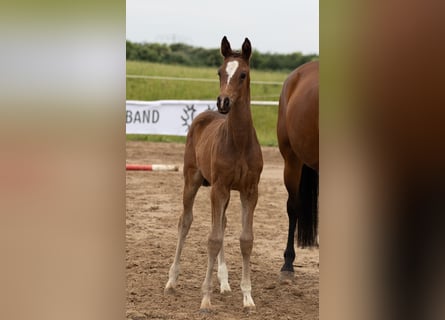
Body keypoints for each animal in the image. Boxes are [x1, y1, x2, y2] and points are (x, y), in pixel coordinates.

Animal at [166, 36, 264, 312]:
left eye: (243, 74)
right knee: (185, 221)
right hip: (192, 180)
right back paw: (172, 281)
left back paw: (224, 281)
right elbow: (213, 239)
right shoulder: (218, 188)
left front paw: (248, 298)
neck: (239, 142)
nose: (223, 103)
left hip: (226, 192)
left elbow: (245, 240)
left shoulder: (249, 191)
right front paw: (205, 298)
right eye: (220, 72)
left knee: (223, 222)